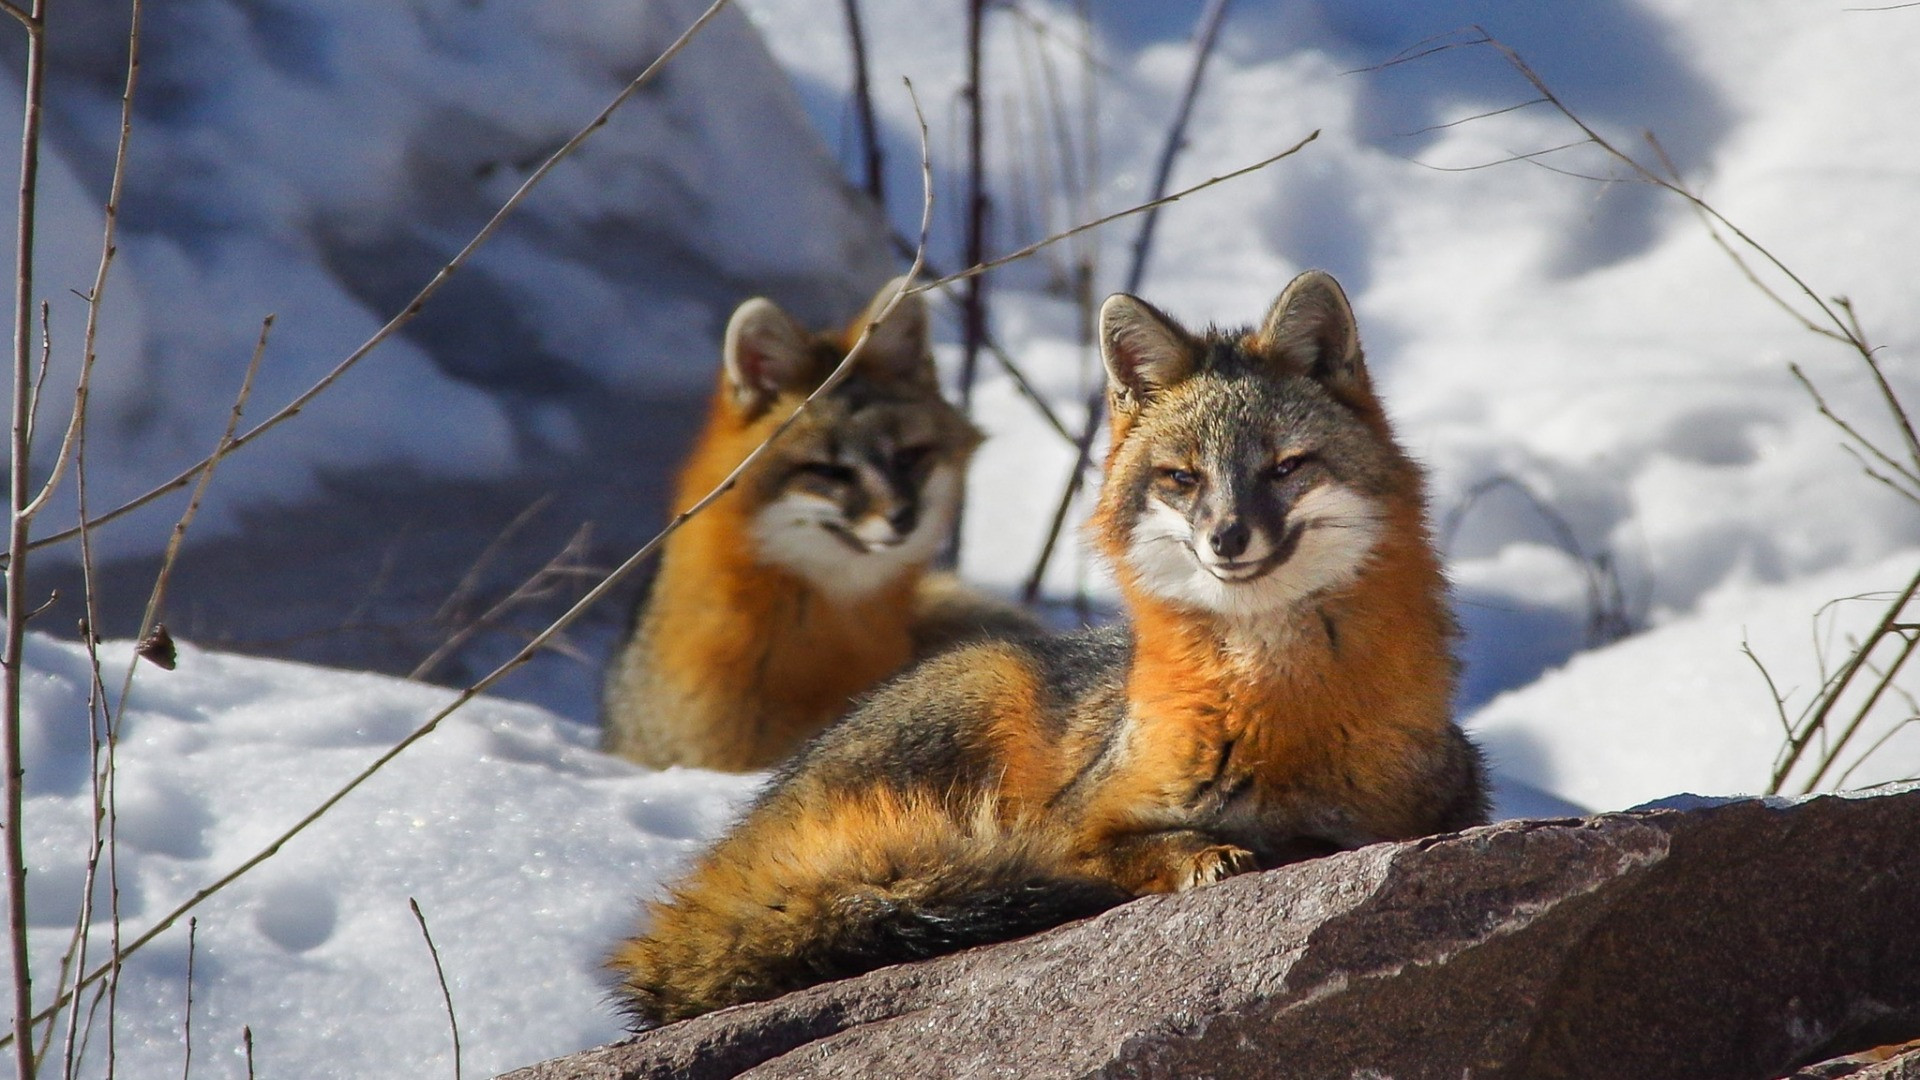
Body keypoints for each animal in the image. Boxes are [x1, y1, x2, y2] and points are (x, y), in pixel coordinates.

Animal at [606, 267, 1489, 1014]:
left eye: (1285, 467)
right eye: (1182, 478)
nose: (1228, 538)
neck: (1274, 715)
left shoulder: (1443, 804)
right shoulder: (1069, 823)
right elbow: (1122, 848)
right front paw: (1203, 854)